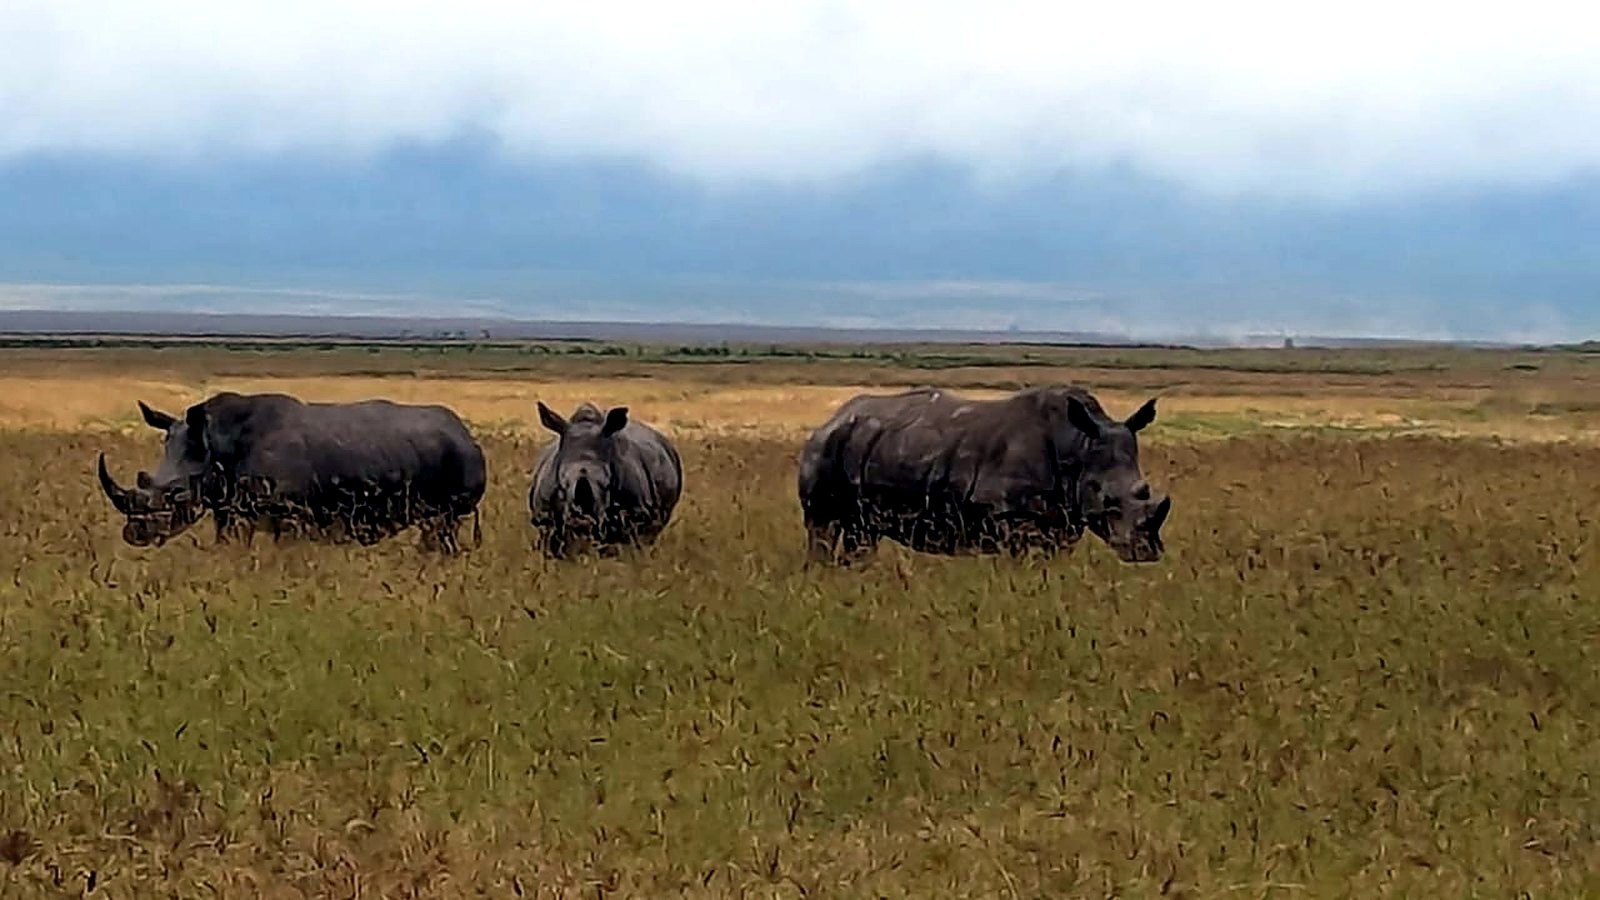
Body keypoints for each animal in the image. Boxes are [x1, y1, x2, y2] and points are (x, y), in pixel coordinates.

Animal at [97, 391, 486, 552]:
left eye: (176, 494)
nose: (134, 533)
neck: (216, 444)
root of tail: (466, 432)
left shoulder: (291, 514)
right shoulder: (228, 508)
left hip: (457, 472)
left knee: (442, 526)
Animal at [796, 385, 1171, 565]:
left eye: (1145, 489)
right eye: (1107, 499)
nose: (1147, 552)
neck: (1077, 447)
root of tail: (831, 418)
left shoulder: (1063, 521)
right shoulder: (1012, 517)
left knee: (862, 532)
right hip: (824, 449)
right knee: (823, 526)